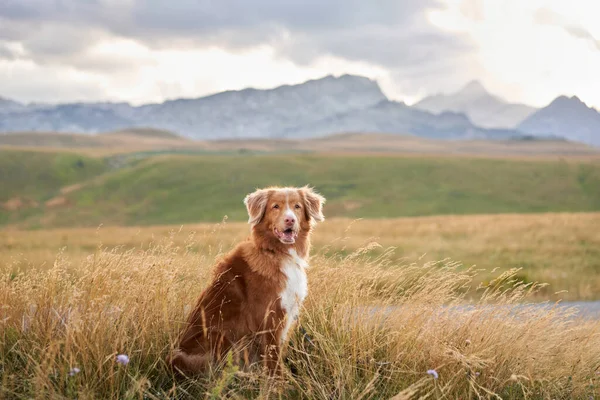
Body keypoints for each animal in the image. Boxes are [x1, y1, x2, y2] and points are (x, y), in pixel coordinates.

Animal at [169, 186, 326, 376]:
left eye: (297, 206)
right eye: (275, 207)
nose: (290, 220)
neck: (275, 253)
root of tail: (171, 364)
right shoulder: (269, 320)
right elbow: (274, 363)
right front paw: (279, 383)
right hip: (220, 335)